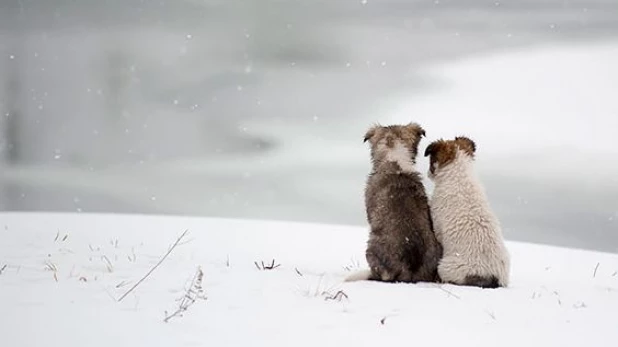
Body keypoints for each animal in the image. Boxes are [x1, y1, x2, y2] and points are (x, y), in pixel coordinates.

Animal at [424, 137, 510, 290]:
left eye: (431, 160)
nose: (428, 173)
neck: (460, 175)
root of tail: (494, 277)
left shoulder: (437, 225)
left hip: (447, 267)